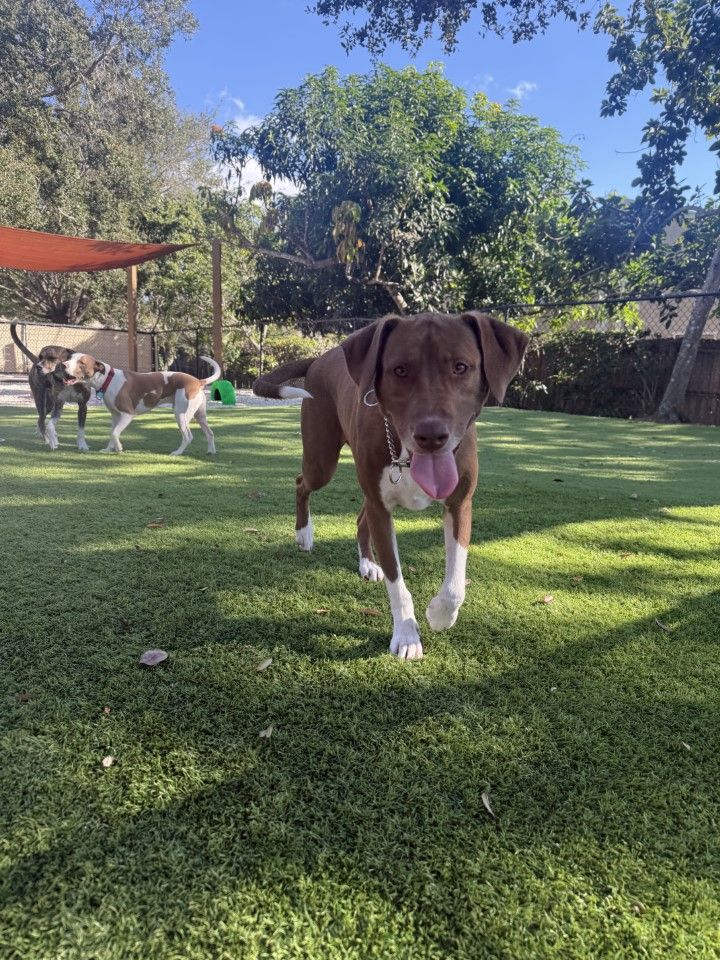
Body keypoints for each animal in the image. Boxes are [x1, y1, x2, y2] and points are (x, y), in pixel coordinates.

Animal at [10, 323, 91, 451]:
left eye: (52, 358)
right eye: (41, 356)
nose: (38, 366)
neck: (67, 379)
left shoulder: (82, 406)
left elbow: (81, 429)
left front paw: (82, 445)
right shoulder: (58, 405)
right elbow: (50, 425)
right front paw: (53, 440)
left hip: (49, 404)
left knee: (40, 419)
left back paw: (41, 434)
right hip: (40, 399)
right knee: (42, 419)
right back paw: (46, 438)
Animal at [60, 353, 221, 455]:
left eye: (81, 362)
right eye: (70, 358)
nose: (63, 364)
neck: (107, 379)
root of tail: (198, 381)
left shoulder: (127, 414)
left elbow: (114, 432)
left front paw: (119, 448)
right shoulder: (115, 416)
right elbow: (112, 433)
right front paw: (109, 449)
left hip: (181, 415)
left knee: (188, 436)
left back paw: (178, 452)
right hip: (200, 416)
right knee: (210, 433)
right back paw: (211, 451)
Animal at [253, 311, 528, 660]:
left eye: (460, 367)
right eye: (399, 370)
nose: (431, 435)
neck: (407, 457)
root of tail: (321, 357)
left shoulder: (459, 504)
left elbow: (455, 581)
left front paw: (440, 615)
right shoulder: (382, 511)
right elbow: (397, 584)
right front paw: (407, 635)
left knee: (360, 517)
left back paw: (367, 564)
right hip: (322, 460)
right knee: (303, 482)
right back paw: (304, 534)